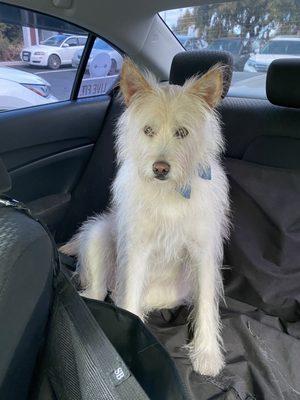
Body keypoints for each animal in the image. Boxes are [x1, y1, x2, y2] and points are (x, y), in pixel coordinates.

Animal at [60, 57, 230, 376]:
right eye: (148, 130)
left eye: (182, 133)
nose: (160, 168)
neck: (169, 193)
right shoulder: (138, 250)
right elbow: (130, 303)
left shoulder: (203, 253)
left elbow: (205, 304)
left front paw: (207, 353)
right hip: (99, 236)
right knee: (100, 292)